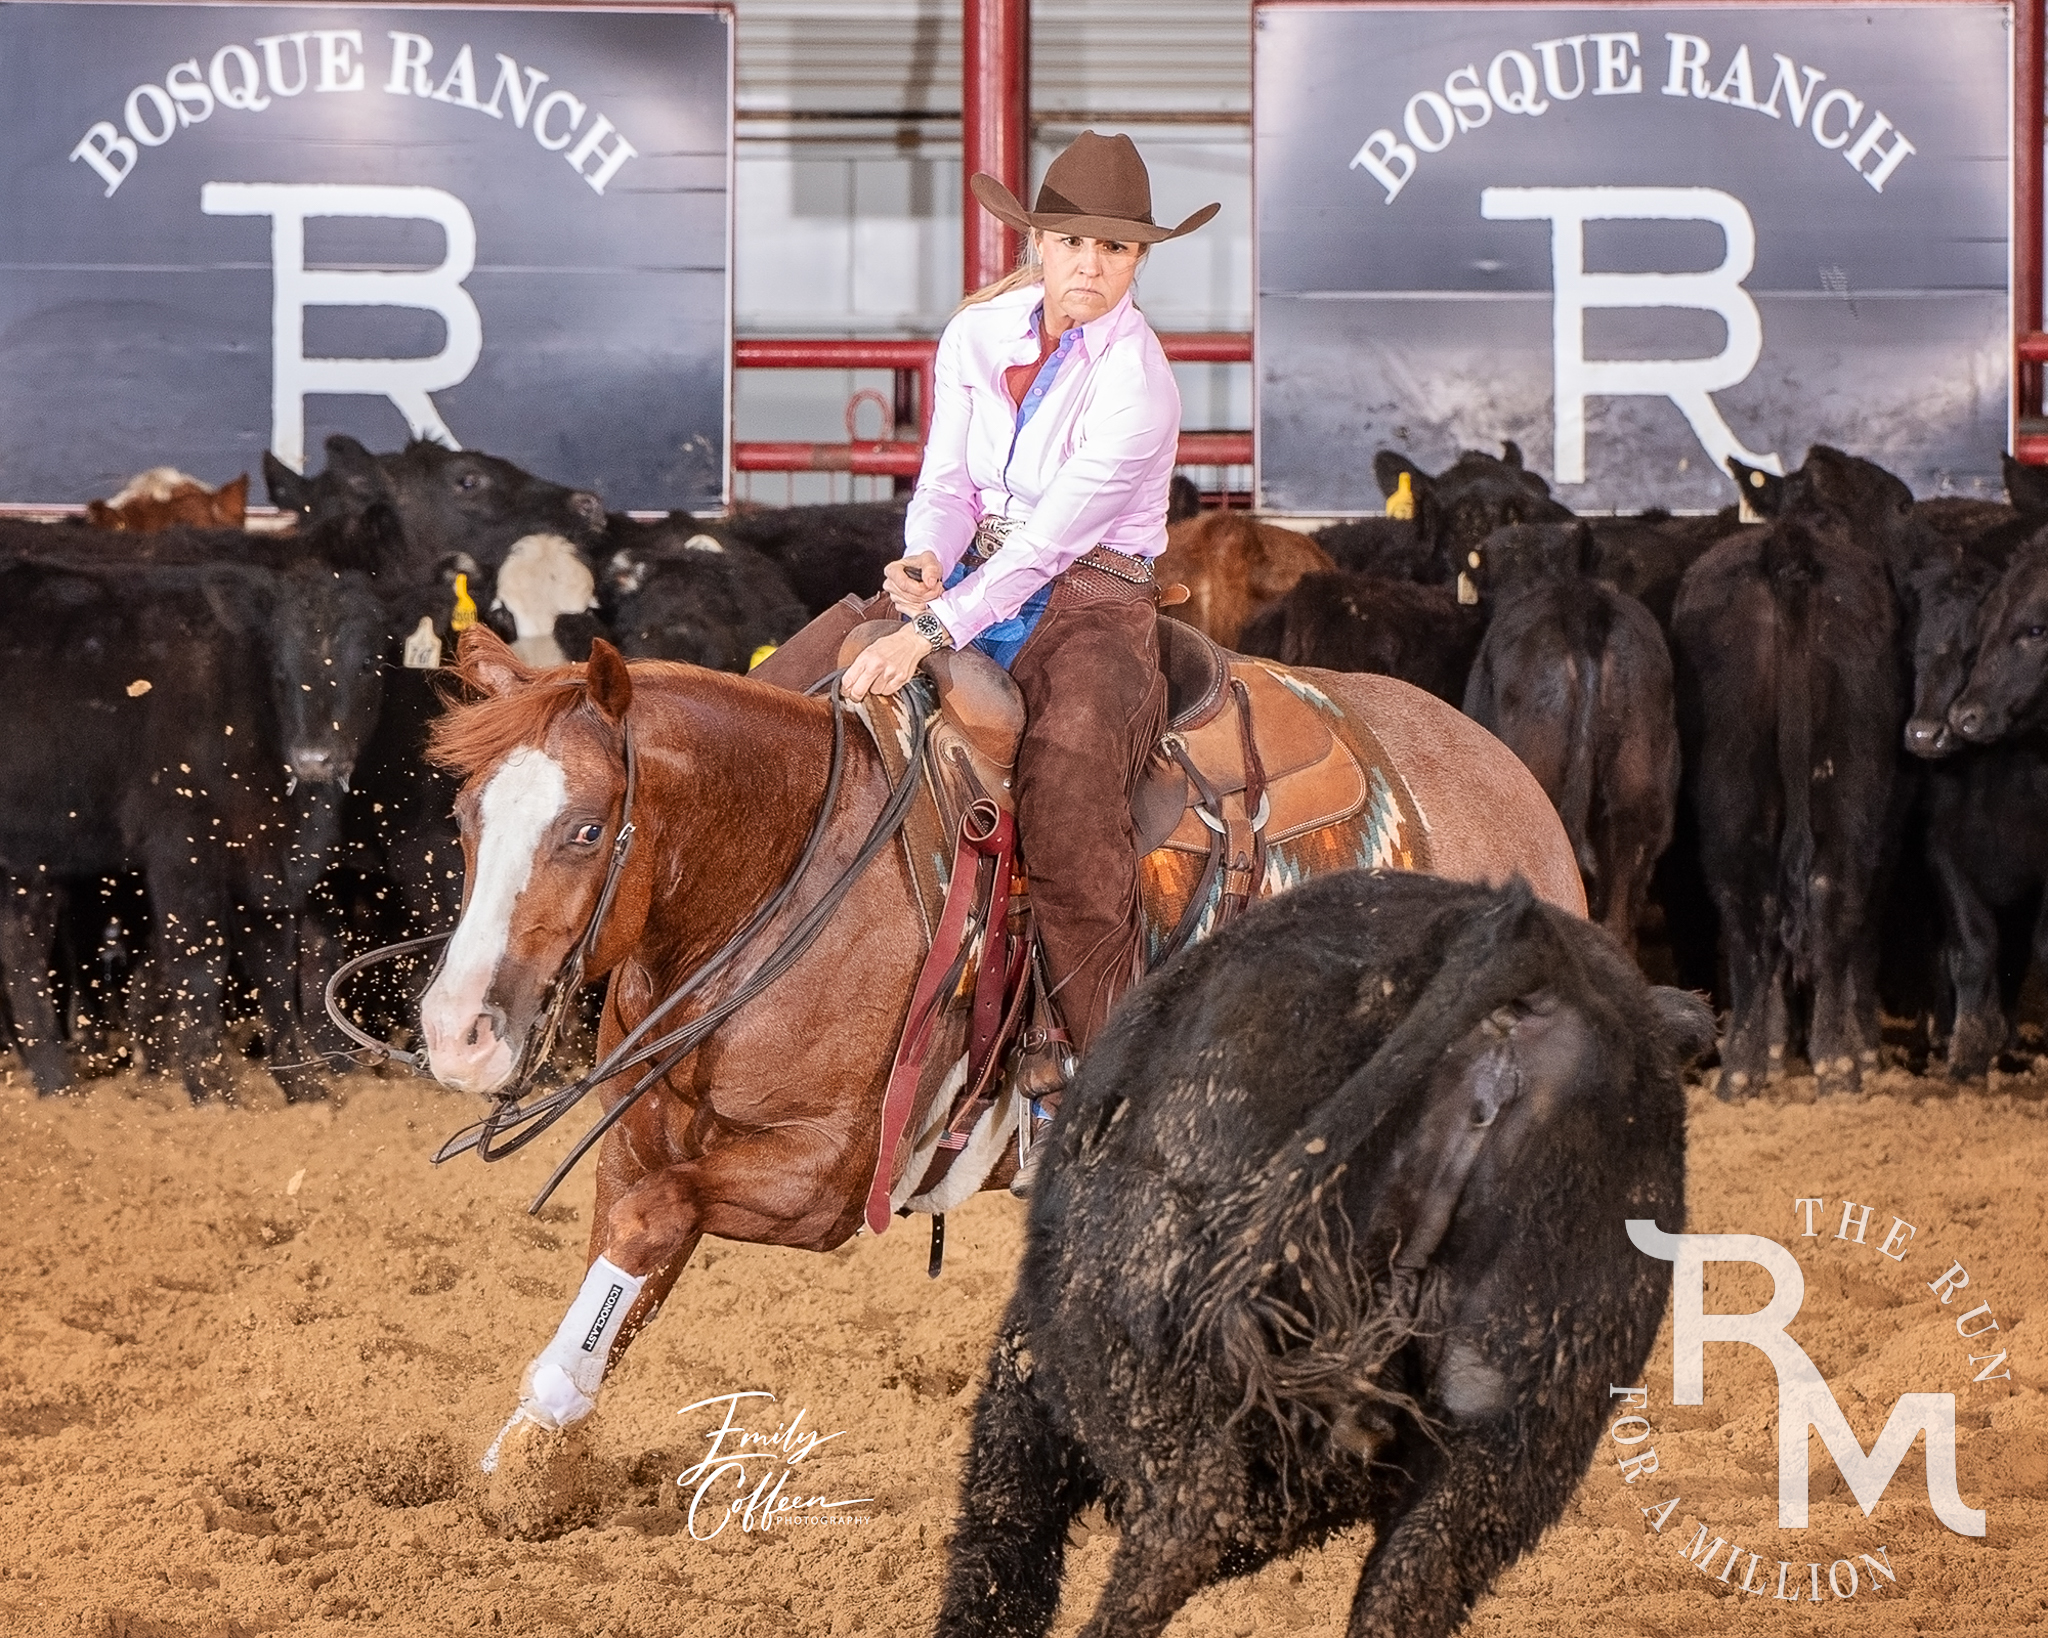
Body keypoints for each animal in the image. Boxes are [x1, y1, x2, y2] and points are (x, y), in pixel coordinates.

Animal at [406, 625, 1583, 1528]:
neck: (790, 871)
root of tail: (1511, 785)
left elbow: (653, 1224)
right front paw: (528, 1462)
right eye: (463, 820)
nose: (455, 1033)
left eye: (584, 829)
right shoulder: (645, 1138)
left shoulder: (827, 1180)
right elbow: (628, 1262)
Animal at [934, 869, 1712, 1638]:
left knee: (1179, 1532)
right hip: (1514, 1424)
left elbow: (998, 1559)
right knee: (1411, 1582)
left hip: (1149, 1350)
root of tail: (1528, 950)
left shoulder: (1025, 1386)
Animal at [1669, 448, 1914, 1097]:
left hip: (1729, 781)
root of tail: (1791, 550)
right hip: (1851, 783)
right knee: (1836, 890)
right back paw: (1836, 1065)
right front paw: (1862, 1045)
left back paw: (1744, 1066)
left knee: (1747, 901)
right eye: (1901, 505)